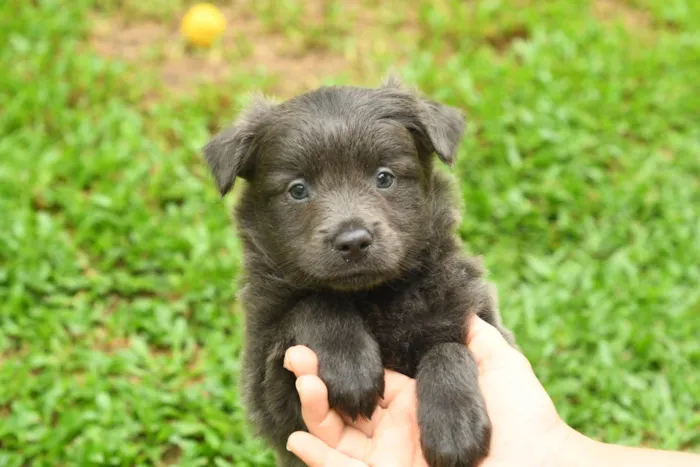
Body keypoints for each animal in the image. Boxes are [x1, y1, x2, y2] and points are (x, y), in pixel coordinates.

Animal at [201, 77, 516, 467]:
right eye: (298, 189)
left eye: (384, 177)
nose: (352, 242)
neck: (374, 296)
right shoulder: (273, 390)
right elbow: (317, 302)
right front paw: (351, 369)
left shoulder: (473, 312)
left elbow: (447, 348)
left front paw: (455, 427)